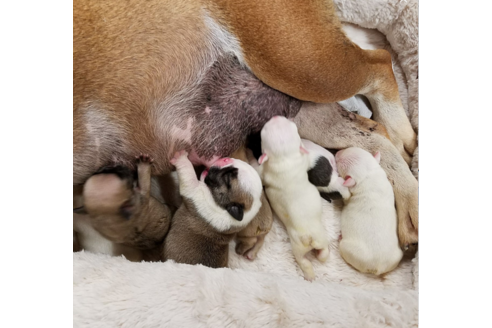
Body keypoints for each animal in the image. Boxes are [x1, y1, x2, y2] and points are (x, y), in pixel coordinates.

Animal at [254, 116, 330, 280]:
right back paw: (313, 271)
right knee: (321, 254)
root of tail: (309, 237)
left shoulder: (264, 170)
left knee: (303, 260)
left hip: (300, 245)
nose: (276, 116)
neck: (284, 158)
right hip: (318, 239)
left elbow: (257, 170)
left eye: (263, 131)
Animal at [334, 147, 404, 276]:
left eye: (338, 162)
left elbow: (346, 198)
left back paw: (340, 237)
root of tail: (378, 267)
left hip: (350, 250)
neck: (368, 176)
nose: (337, 152)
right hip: (396, 256)